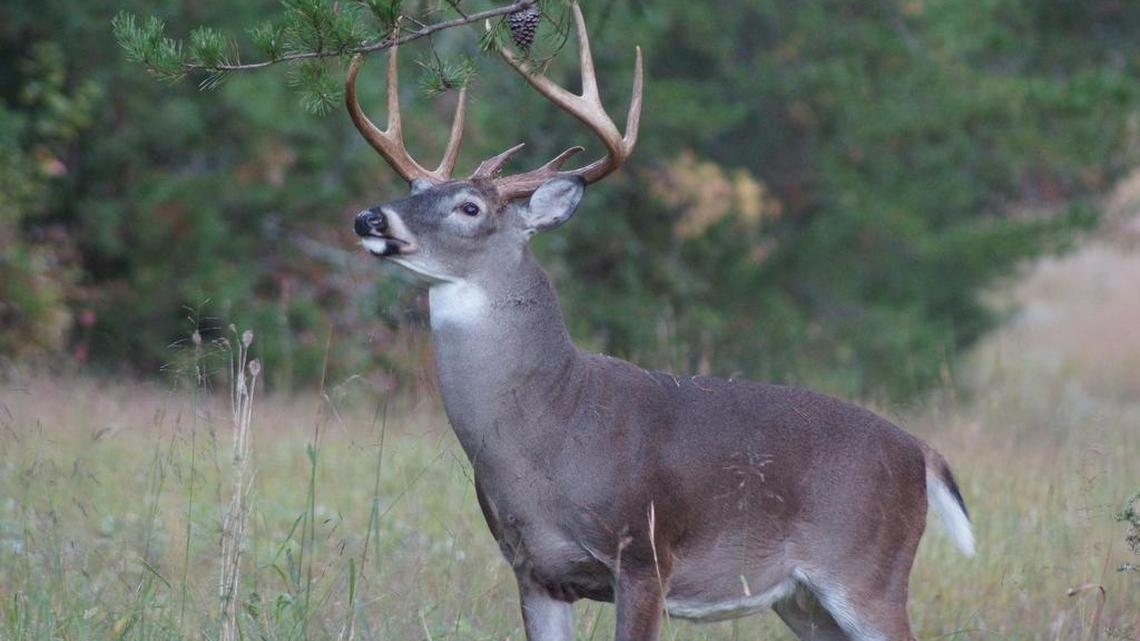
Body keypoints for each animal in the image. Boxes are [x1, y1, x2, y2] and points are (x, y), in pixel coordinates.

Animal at [348, 5, 975, 640]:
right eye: (413, 188)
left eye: (469, 208)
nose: (370, 217)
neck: (552, 425)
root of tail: (921, 453)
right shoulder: (533, 570)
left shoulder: (644, 555)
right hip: (803, 599)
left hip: (867, 571)